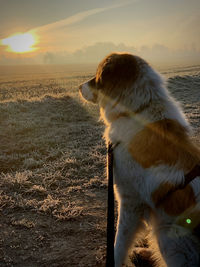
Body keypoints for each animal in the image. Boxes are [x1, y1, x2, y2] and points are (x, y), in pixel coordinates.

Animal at [79, 51, 200, 266]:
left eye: (97, 76)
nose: (78, 87)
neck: (137, 111)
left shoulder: (129, 201)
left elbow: (119, 243)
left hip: (168, 235)